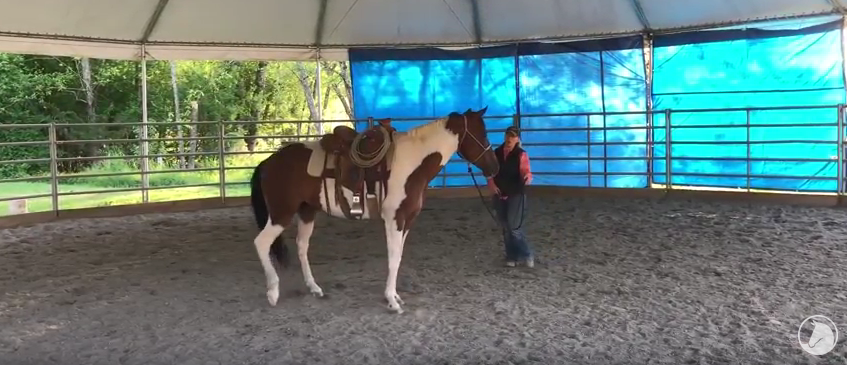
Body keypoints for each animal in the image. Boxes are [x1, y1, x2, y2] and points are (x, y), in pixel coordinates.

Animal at [248, 106, 500, 312]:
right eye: (482, 134)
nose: (494, 167)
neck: (411, 164)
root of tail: (268, 162)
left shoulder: (407, 221)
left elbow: (398, 256)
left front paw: (395, 296)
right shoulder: (395, 219)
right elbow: (393, 258)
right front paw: (391, 301)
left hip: (307, 211)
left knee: (302, 246)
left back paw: (314, 288)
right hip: (281, 214)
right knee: (261, 243)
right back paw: (273, 292)